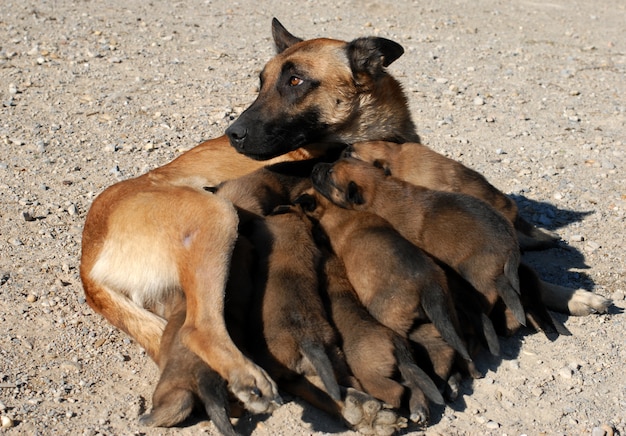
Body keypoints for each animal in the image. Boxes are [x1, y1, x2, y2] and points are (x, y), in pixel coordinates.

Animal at [310, 158, 524, 326]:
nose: (313, 167)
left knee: (489, 294)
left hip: (475, 272)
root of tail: (511, 242)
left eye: (329, 174)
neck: (380, 189)